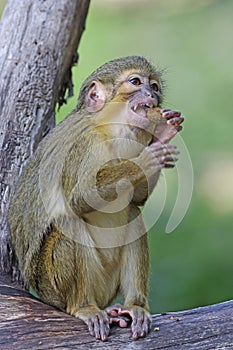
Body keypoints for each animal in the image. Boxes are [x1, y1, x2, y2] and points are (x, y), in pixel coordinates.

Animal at [7, 56, 184, 340]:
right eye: (136, 82)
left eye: (155, 86)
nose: (151, 95)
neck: (108, 128)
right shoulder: (84, 145)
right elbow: (80, 199)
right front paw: (147, 157)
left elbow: (137, 198)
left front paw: (162, 132)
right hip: (54, 287)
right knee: (70, 220)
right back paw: (83, 307)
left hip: (106, 285)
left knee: (132, 212)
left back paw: (134, 306)